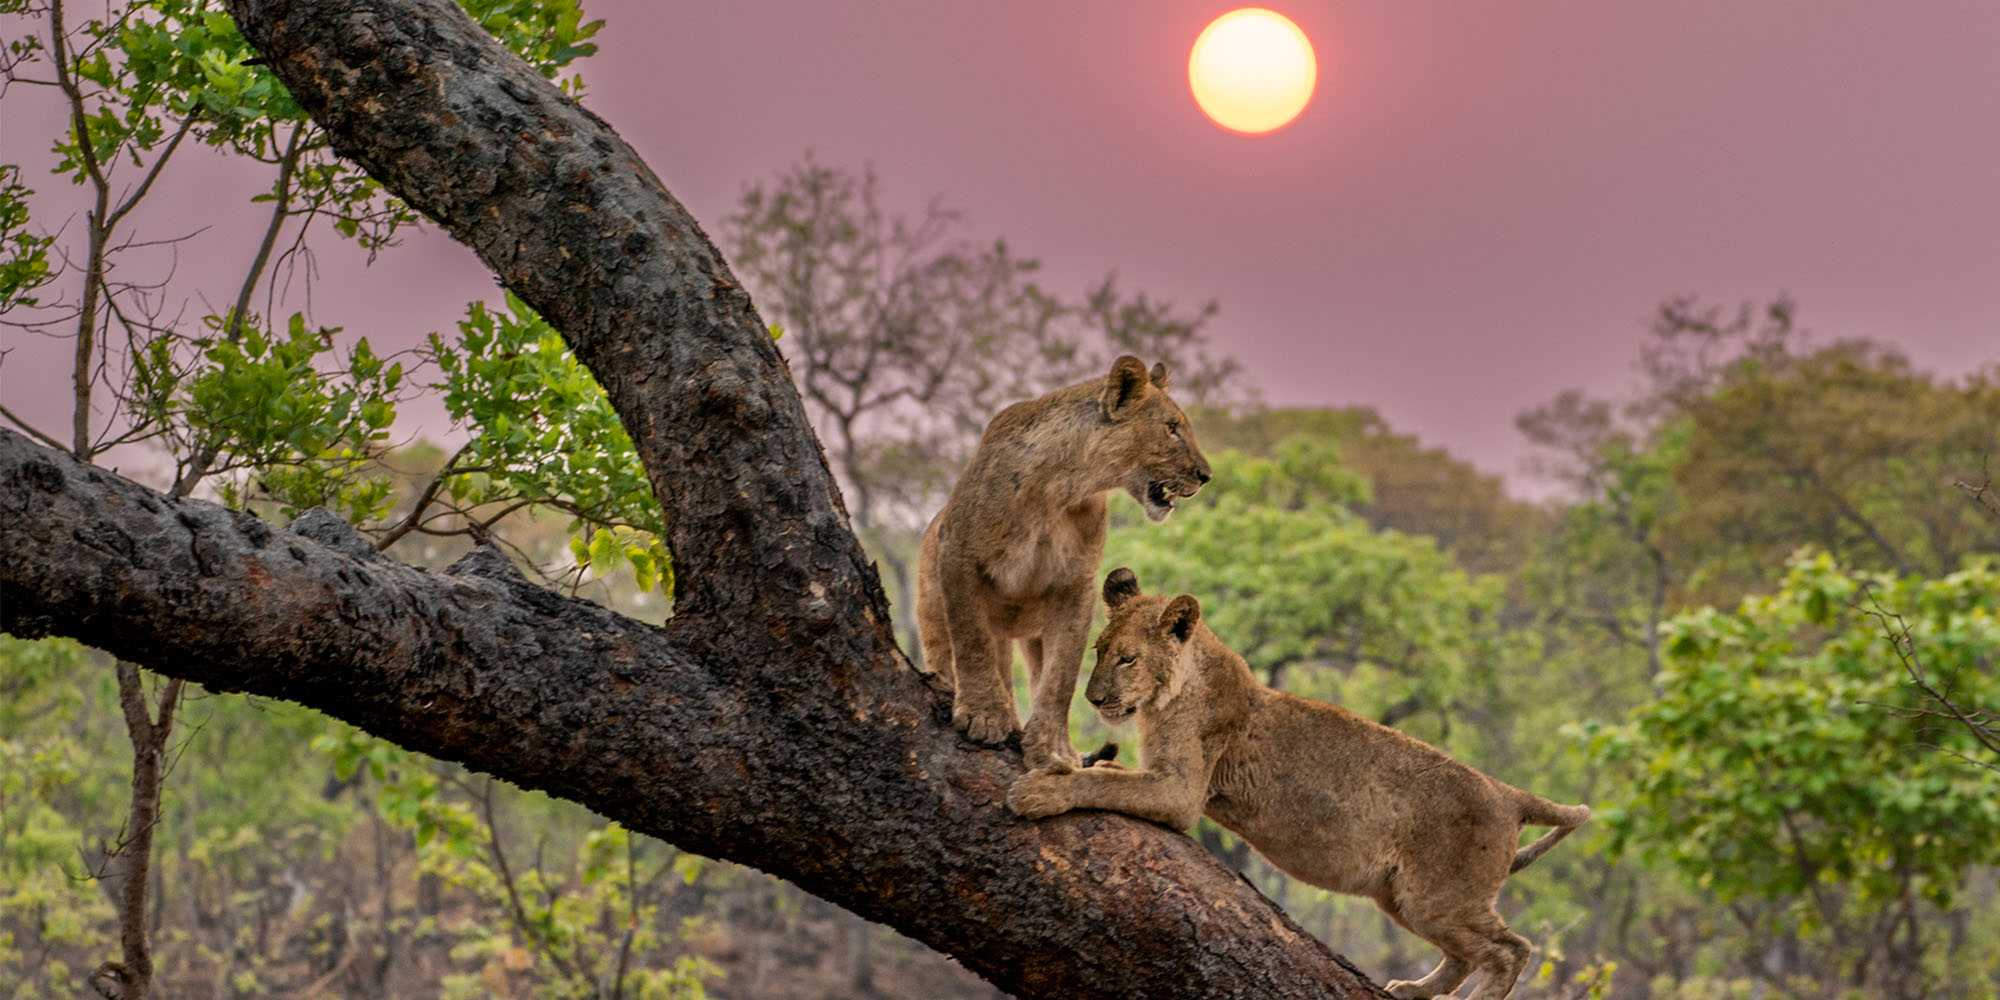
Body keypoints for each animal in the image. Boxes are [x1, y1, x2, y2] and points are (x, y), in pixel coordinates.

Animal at [915, 357, 1211, 770]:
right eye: (1171, 428)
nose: (1206, 475)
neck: (1061, 488)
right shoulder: (958, 550)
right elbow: (971, 639)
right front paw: (984, 715)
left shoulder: (1076, 582)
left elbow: (1060, 675)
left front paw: (1054, 748)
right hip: (932, 602)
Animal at [1007, 568, 1590, 1000]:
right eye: (1098, 650)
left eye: (1128, 658)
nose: (1094, 699)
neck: (1169, 694)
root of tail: (1509, 794)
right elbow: (1111, 778)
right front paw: (1089, 767)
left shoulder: (1181, 794)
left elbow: (1099, 788)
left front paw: (1039, 790)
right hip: (1403, 898)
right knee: (1462, 955)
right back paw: (1411, 990)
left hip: (1438, 896)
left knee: (1510, 949)